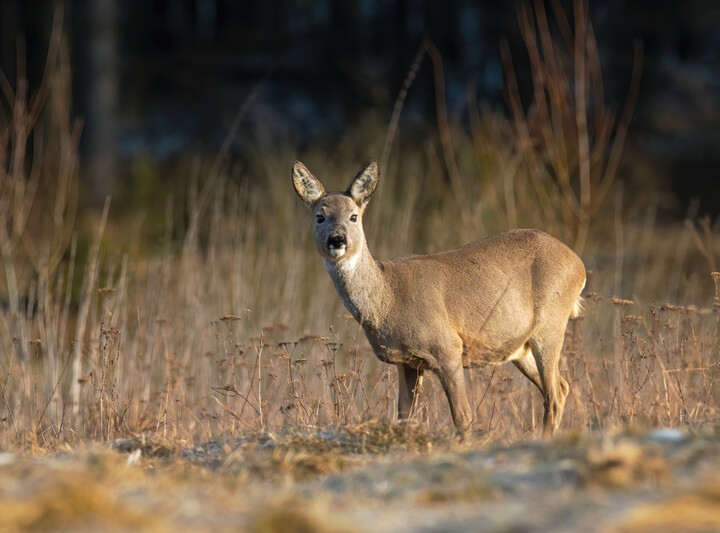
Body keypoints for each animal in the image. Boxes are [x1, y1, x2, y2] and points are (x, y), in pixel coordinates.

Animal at [292, 160, 584, 434]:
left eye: (354, 217)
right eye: (320, 217)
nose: (337, 240)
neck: (387, 297)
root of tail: (578, 265)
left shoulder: (448, 347)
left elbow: (463, 417)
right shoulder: (407, 362)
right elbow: (404, 417)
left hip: (550, 325)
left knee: (554, 394)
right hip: (519, 347)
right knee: (561, 387)